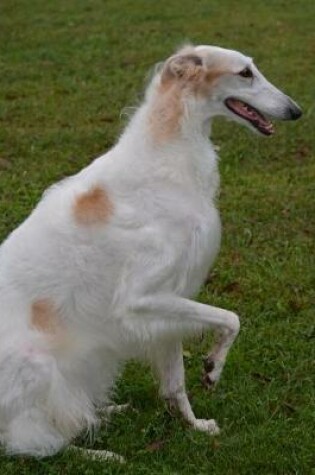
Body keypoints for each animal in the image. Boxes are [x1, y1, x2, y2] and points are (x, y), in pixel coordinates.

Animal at [0, 44, 302, 462]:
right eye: (245, 73)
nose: (296, 110)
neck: (165, 153)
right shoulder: (140, 299)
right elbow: (232, 318)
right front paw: (213, 367)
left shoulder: (169, 305)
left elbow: (175, 384)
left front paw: (195, 425)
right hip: (40, 366)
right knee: (29, 446)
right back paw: (101, 454)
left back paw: (108, 410)